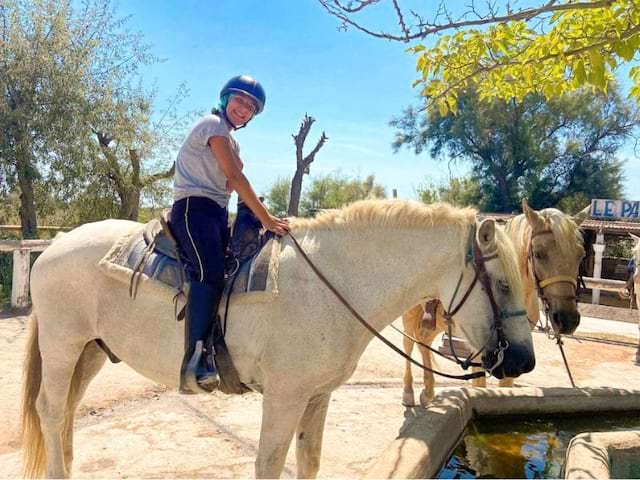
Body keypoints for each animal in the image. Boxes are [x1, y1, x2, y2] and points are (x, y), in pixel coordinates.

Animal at [20, 199, 536, 476]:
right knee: (50, 410)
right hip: (63, 346)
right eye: (502, 283)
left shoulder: (317, 397)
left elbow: (308, 461)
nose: (525, 363)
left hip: (90, 351)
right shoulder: (284, 397)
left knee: (66, 412)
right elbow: (269, 463)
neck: (335, 281)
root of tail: (54, 245)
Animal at [402, 201, 588, 406]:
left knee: (423, 340)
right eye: (539, 254)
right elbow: (479, 385)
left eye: (581, 255)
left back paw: (428, 391)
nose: (567, 319)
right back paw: (409, 391)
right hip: (408, 314)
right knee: (409, 343)